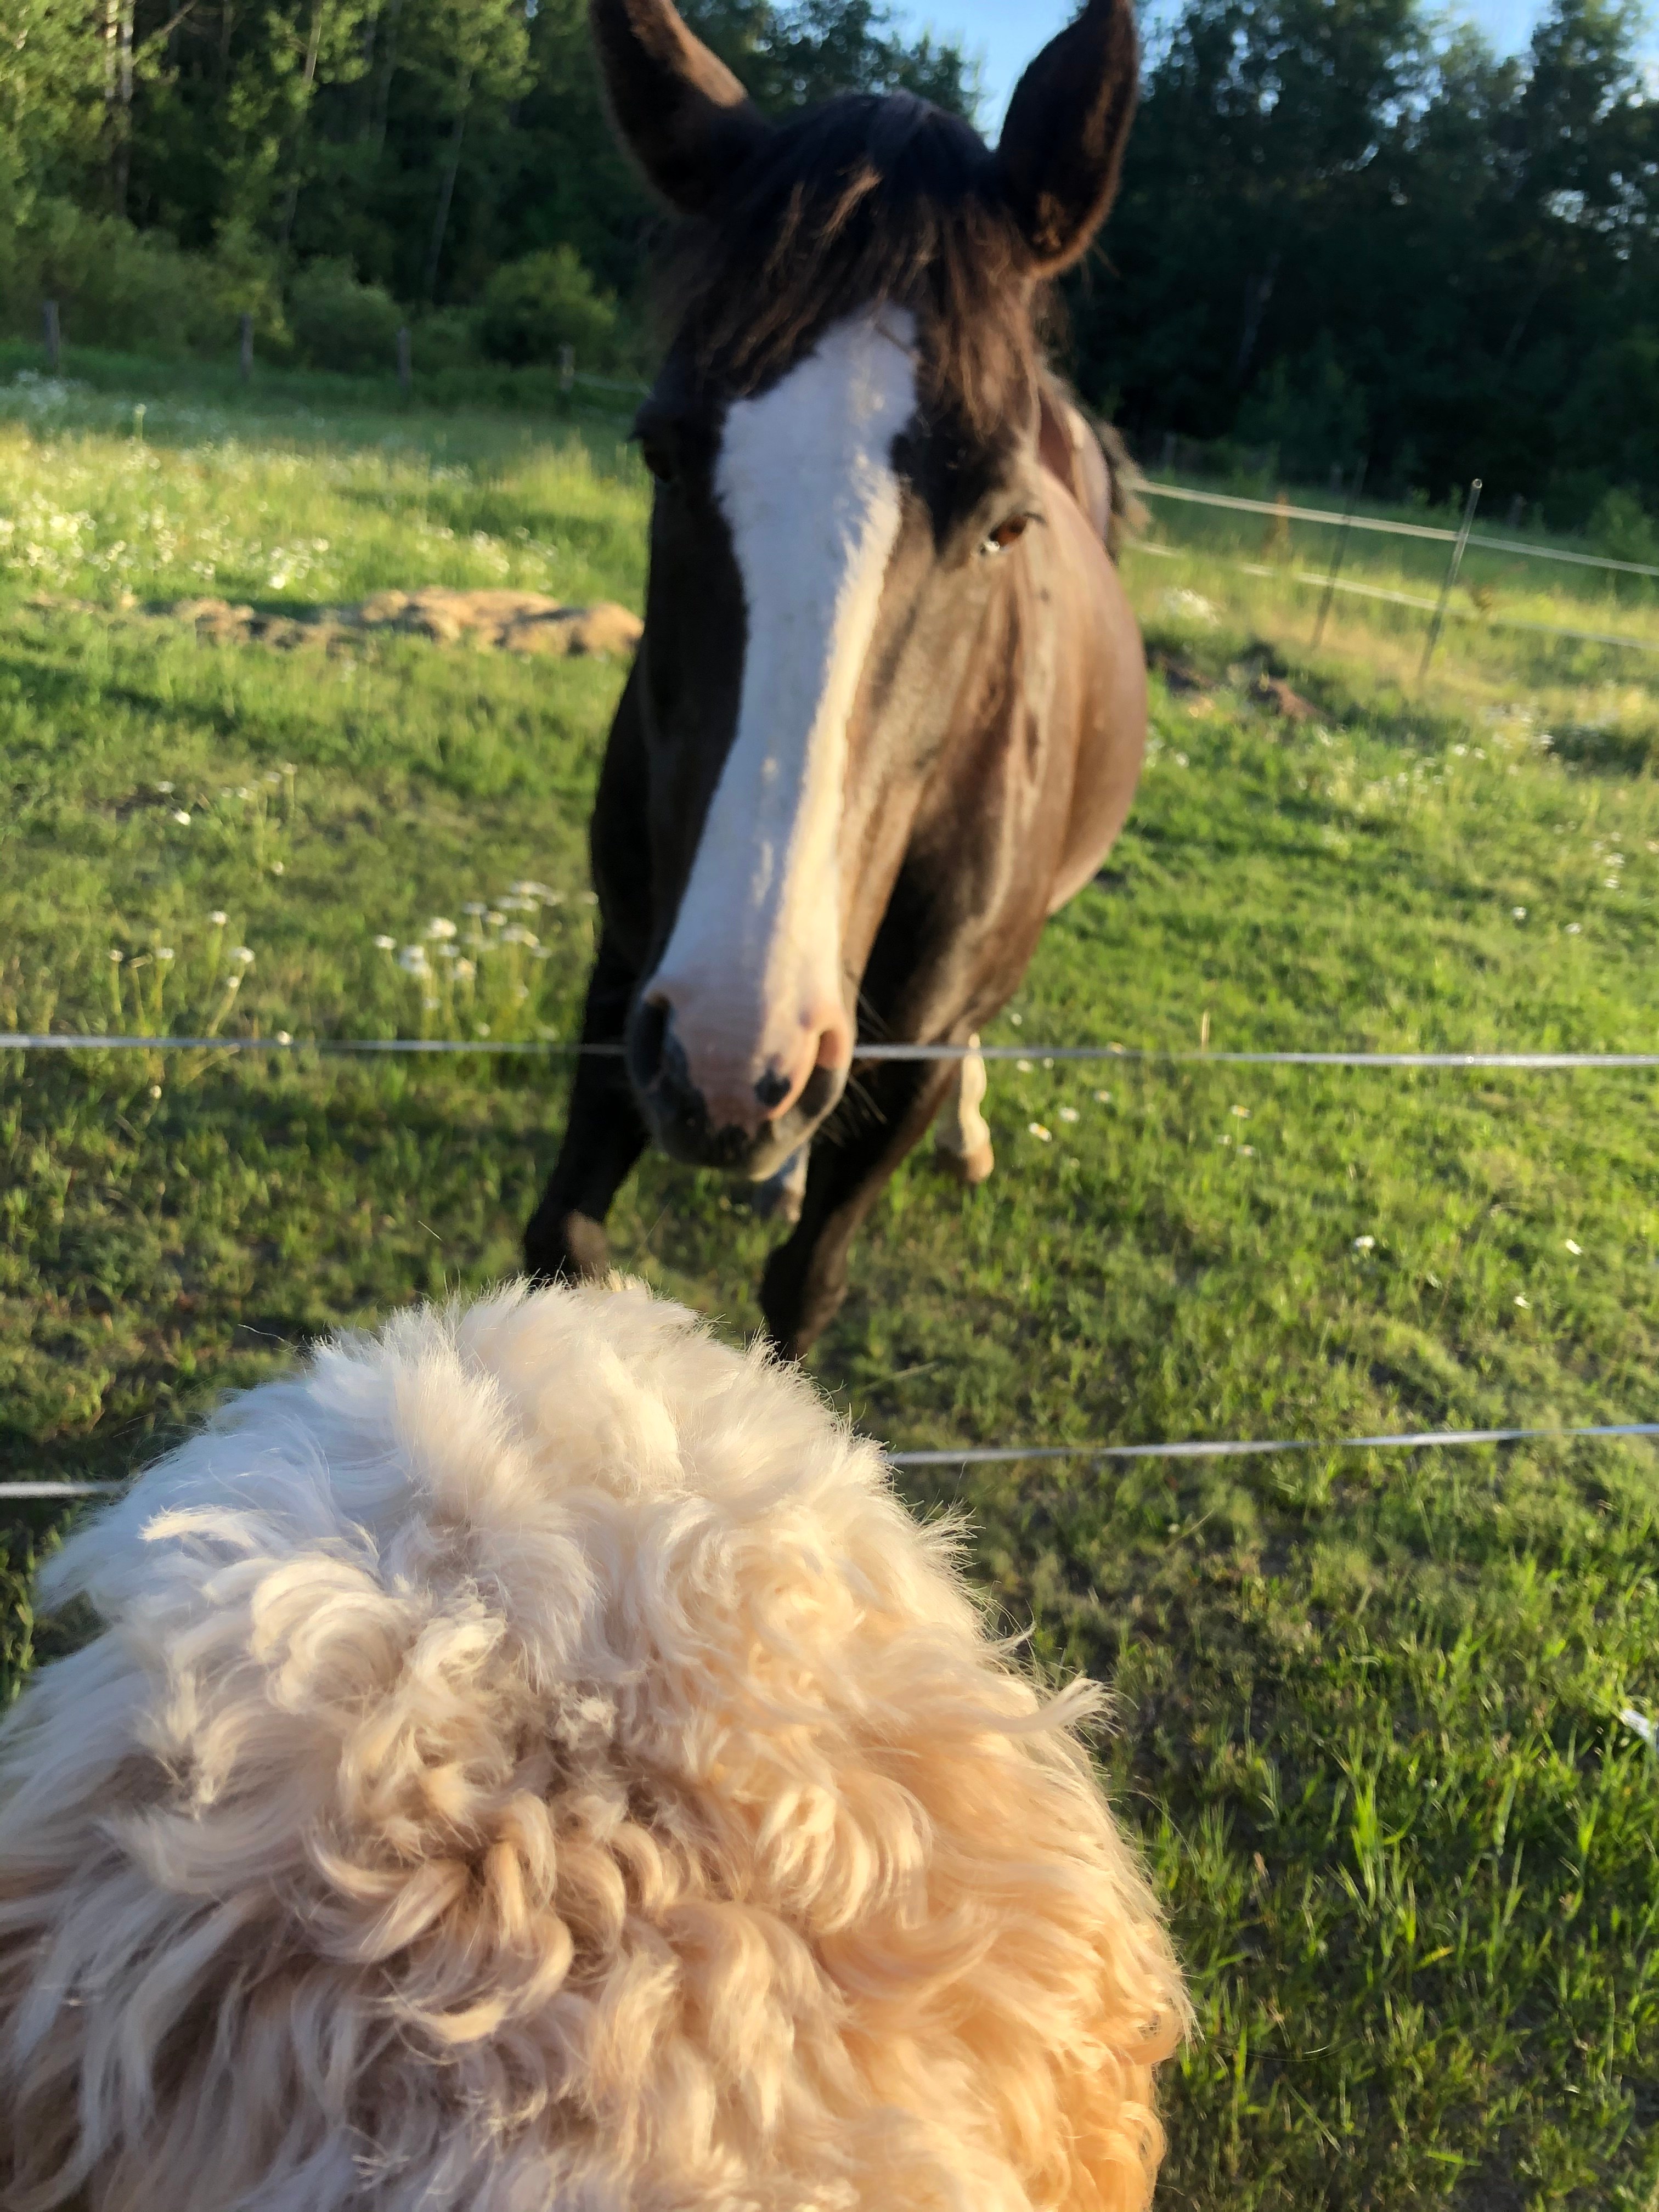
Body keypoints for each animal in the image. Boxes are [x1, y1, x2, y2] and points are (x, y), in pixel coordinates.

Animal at [524, 0, 1147, 1357]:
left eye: (1006, 523)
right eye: (660, 454)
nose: (730, 1060)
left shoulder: (907, 1046)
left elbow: (805, 1294)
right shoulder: (628, 973)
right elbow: (562, 1247)